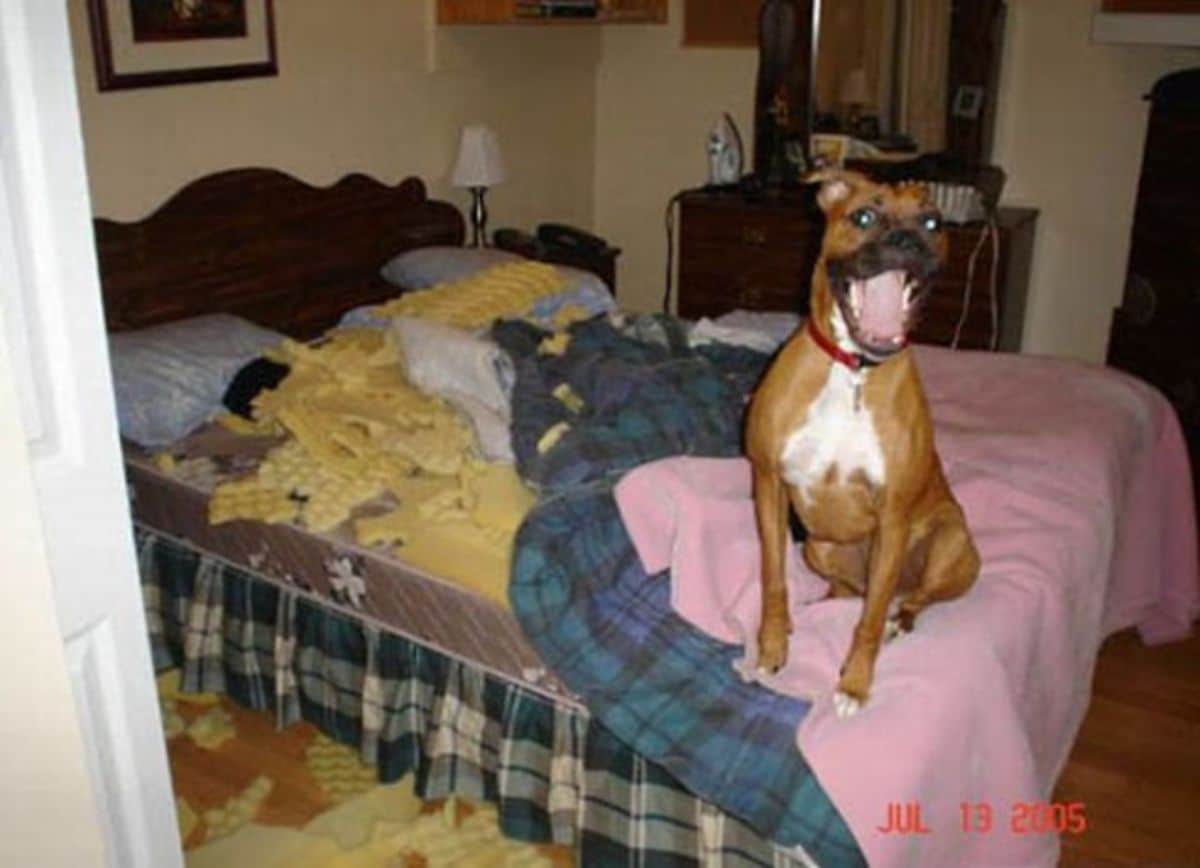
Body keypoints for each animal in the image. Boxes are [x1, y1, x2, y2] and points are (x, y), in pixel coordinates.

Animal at [739, 169, 984, 720]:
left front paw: (854, 684)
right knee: (848, 591)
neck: (854, 370)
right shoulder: (769, 485)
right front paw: (772, 644)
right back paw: (821, 606)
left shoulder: (893, 520)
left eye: (932, 222)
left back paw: (900, 619)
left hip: (952, 544)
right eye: (864, 216)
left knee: (907, 600)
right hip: (821, 547)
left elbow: (868, 621)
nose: (908, 240)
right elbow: (772, 577)